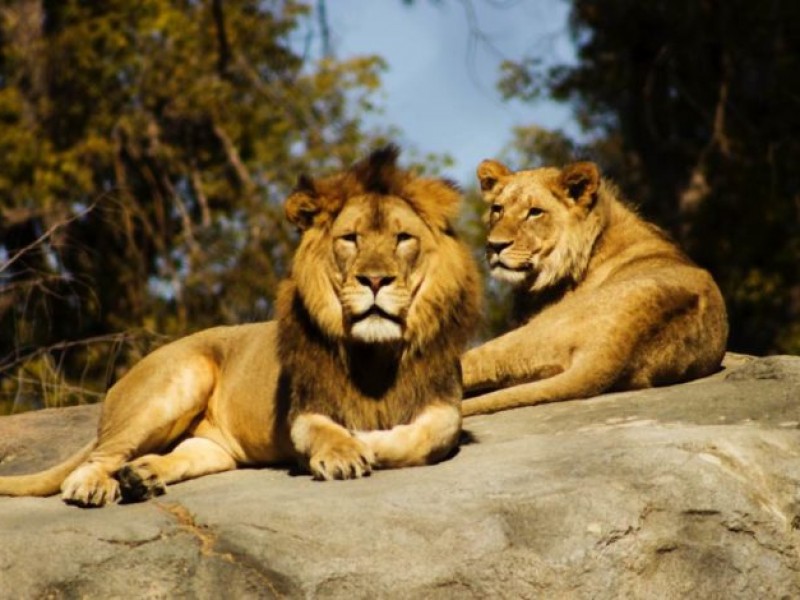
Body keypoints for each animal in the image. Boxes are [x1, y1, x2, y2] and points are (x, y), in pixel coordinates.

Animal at [0, 146, 478, 506]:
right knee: (97, 457)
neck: (376, 351)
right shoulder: (304, 409)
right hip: (177, 380)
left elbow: (424, 436)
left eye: (403, 238)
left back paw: (141, 476)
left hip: (212, 448)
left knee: (180, 454)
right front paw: (345, 450)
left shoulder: (443, 405)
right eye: (350, 238)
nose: (375, 280)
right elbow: (325, 430)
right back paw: (94, 485)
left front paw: (368, 441)